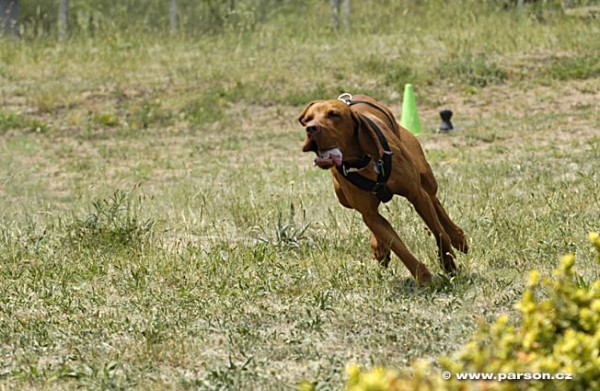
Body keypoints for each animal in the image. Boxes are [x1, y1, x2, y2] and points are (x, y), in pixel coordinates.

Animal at [300, 94, 468, 286]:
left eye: (334, 114)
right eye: (307, 120)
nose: (311, 129)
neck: (362, 160)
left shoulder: (416, 195)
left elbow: (438, 232)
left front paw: (447, 261)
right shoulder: (370, 213)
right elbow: (398, 247)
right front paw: (423, 277)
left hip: (425, 176)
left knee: (433, 199)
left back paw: (457, 237)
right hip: (343, 199)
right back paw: (379, 247)